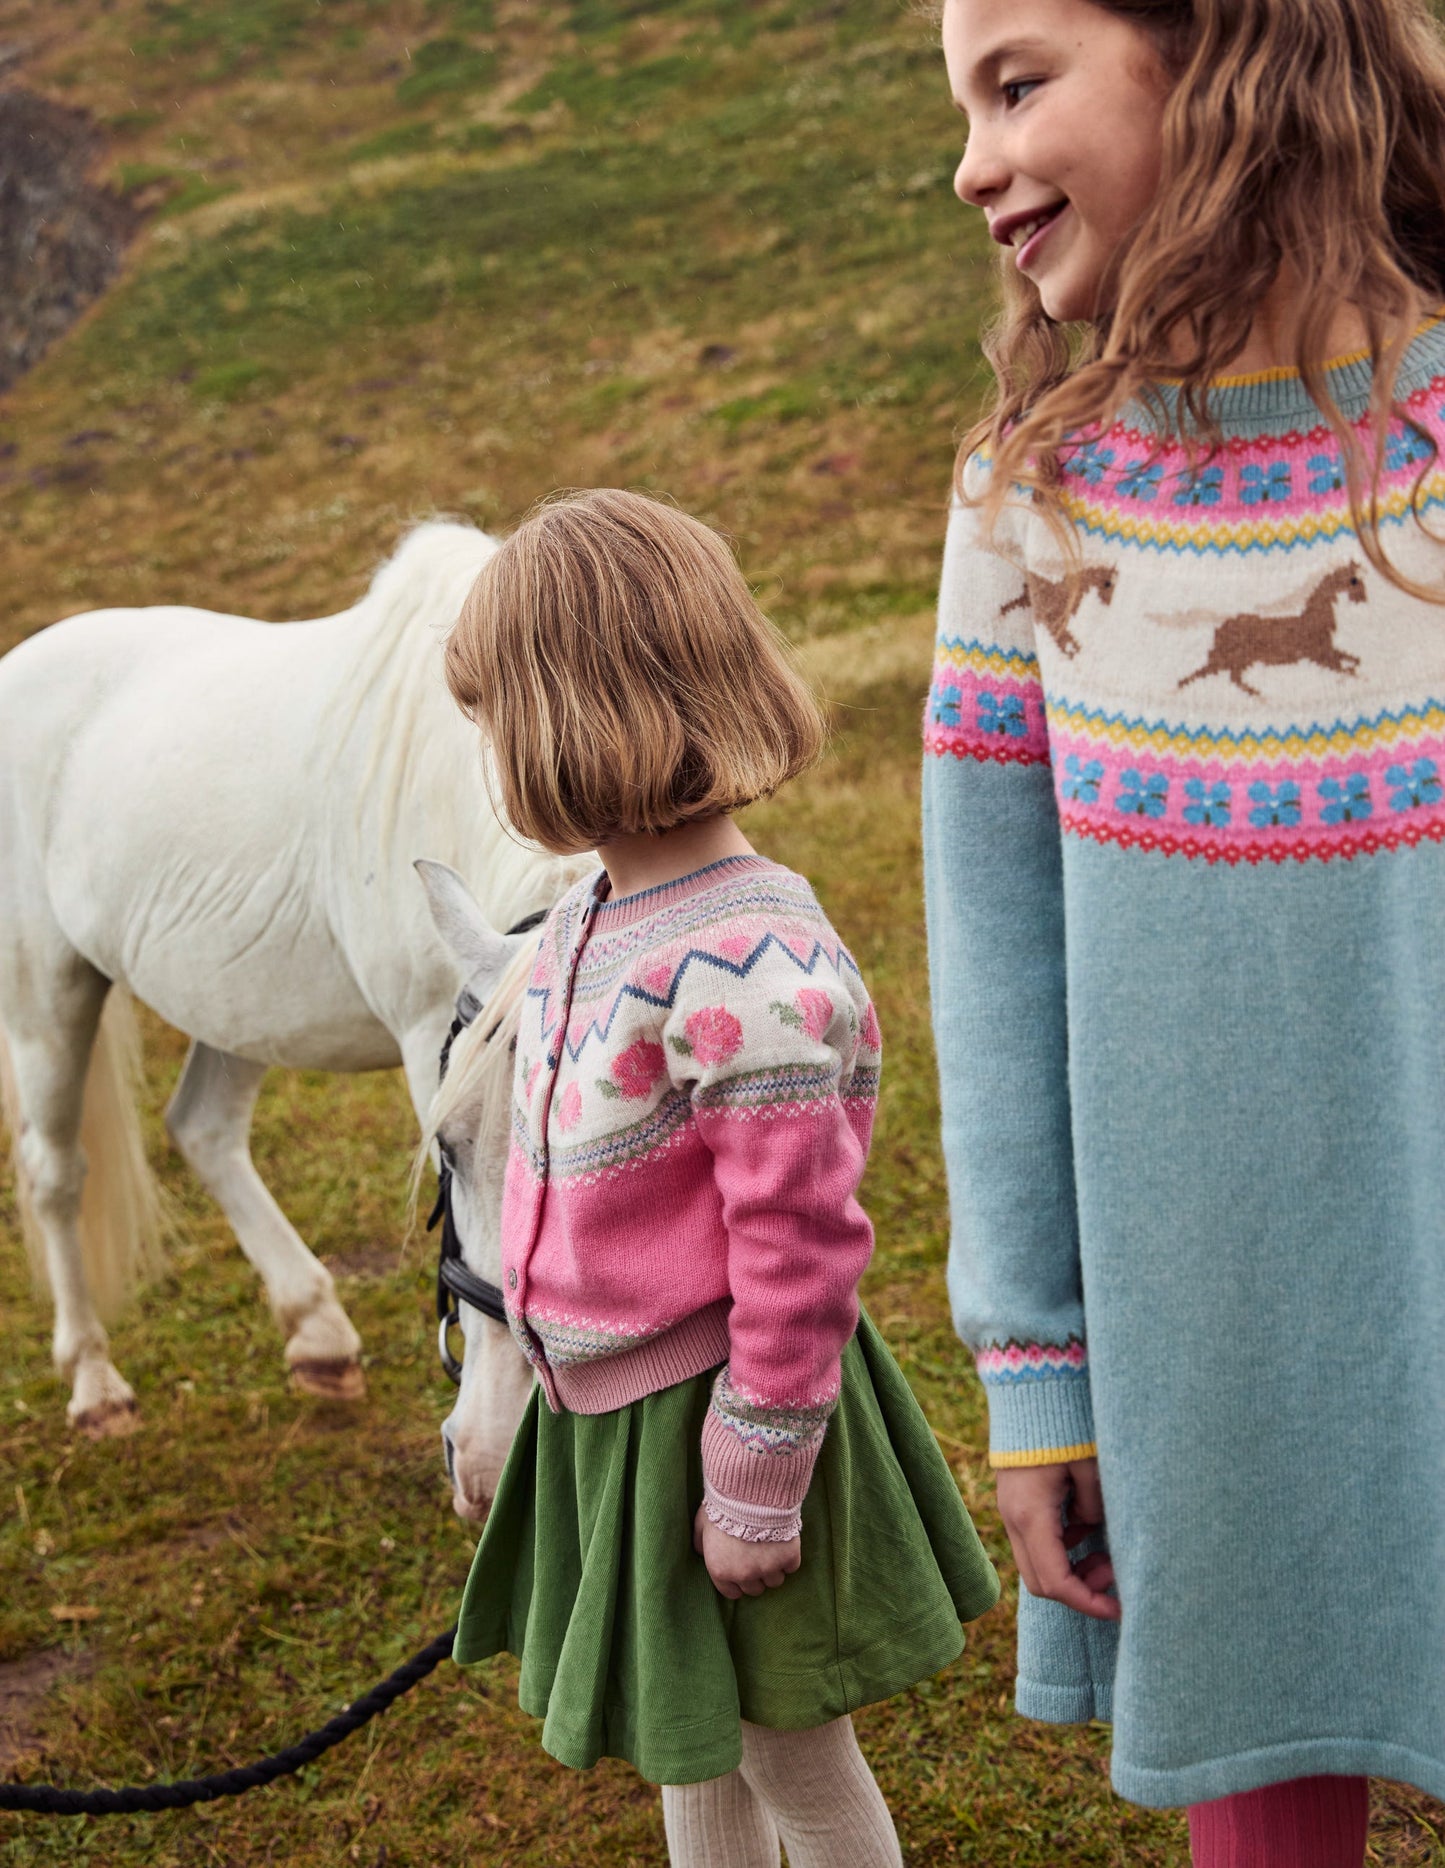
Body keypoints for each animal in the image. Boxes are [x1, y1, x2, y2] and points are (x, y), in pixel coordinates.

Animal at [1, 519, 589, 1509]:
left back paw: (317, 1335)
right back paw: (94, 1385)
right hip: (49, 993)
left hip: (235, 1002)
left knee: (200, 1127)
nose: (491, 1455)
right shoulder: (426, 1041)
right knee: (56, 1173)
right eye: (445, 1151)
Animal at [1179, 560, 1366, 702]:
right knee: (1223, 674)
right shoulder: (1319, 655)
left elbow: (1353, 660)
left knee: (1225, 675)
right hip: (1238, 657)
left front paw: (1353, 674)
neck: (1315, 620)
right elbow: (1343, 666)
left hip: (1239, 659)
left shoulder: (1326, 651)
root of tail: (1221, 627)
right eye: (1354, 580)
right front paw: (1355, 676)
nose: (1362, 598)